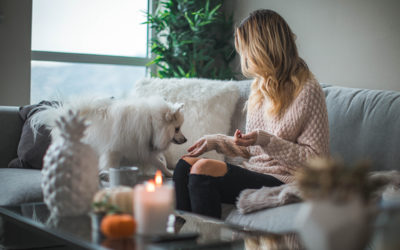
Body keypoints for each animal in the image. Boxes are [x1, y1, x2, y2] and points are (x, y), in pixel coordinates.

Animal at [30, 94, 187, 177]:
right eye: (177, 129)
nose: (186, 139)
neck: (151, 123)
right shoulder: (114, 150)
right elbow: (110, 164)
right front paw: (107, 174)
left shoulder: (142, 149)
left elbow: (159, 163)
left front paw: (169, 173)